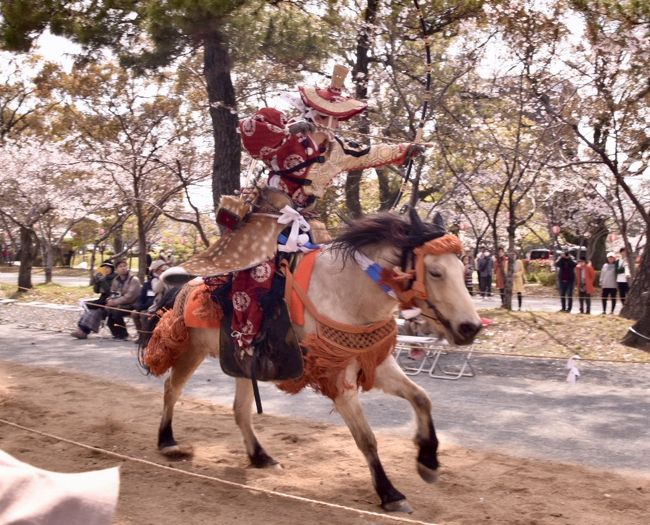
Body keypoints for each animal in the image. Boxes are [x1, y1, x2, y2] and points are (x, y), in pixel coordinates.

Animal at [149, 209, 478, 512]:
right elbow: (366, 438)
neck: (347, 293)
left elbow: (422, 398)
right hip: (191, 350)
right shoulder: (338, 379)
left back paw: (260, 456)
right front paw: (390, 493)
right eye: (435, 272)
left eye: (462, 267)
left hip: (241, 366)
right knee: (171, 389)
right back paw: (167, 441)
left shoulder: (377, 363)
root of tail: (183, 288)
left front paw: (428, 461)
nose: (471, 327)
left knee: (240, 410)